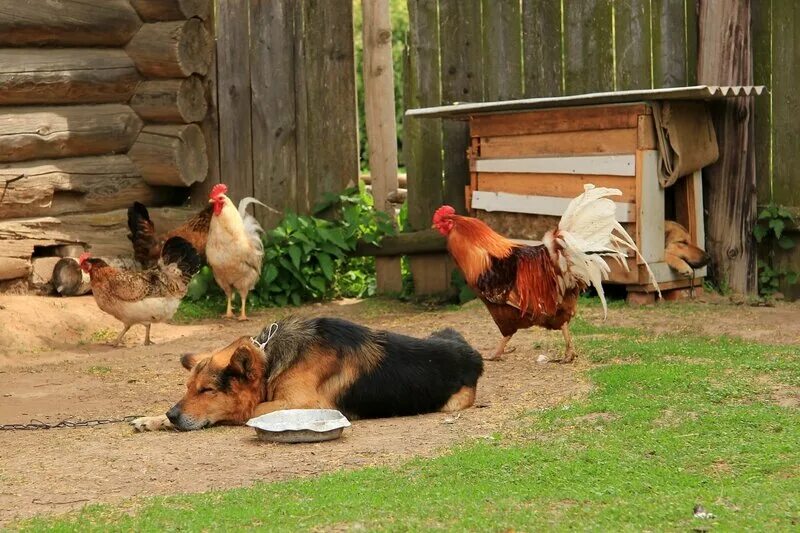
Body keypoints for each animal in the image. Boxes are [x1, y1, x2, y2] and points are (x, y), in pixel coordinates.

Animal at [133, 314, 482, 430]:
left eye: (207, 390)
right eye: (188, 388)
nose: (174, 415)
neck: (271, 359)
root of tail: (472, 354)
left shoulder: (304, 404)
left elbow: (248, 410)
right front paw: (154, 419)